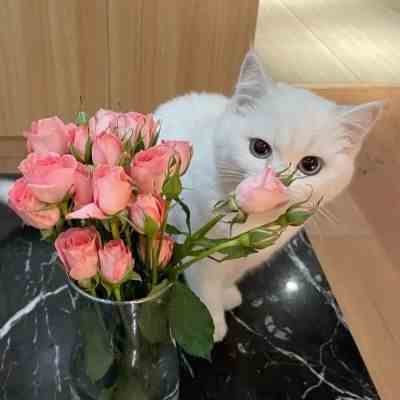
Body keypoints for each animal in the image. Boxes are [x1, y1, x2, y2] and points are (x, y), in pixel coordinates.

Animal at [155, 49, 383, 341]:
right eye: (259, 148)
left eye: (310, 165)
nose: (277, 180)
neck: (251, 221)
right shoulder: (196, 247)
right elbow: (204, 287)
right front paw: (214, 322)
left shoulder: (247, 254)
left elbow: (229, 276)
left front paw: (227, 295)